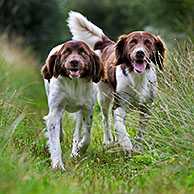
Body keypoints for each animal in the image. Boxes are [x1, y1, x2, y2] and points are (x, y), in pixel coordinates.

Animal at [41, 40, 104, 171]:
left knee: (78, 133)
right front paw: (58, 165)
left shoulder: (87, 109)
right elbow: (55, 142)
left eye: (83, 52)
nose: (74, 62)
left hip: (80, 111)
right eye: (66, 52)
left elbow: (87, 138)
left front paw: (79, 150)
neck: (75, 83)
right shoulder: (56, 109)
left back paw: (75, 151)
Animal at [67, 11, 165, 152]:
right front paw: (126, 145)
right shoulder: (119, 106)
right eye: (132, 42)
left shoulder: (147, 107)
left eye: (148, 43)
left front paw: (137, 147)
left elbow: (141, 131)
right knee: (105, 119)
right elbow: (120, 128)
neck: (137, 77)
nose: (140, 53)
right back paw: (108, 141)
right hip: (104, 97)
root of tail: (107, 44)